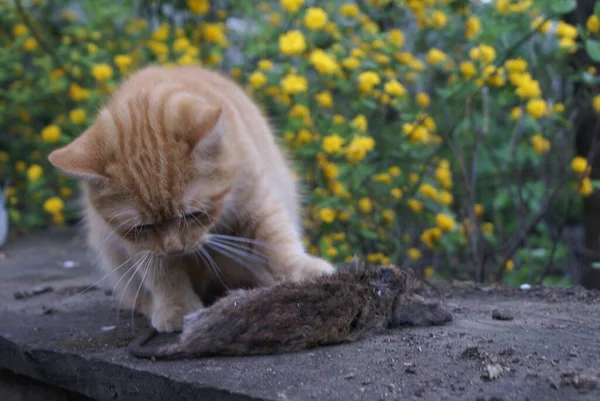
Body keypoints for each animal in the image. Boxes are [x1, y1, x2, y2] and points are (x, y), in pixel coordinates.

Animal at [49, 65, 336, 332]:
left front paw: (304, 270)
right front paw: (175, 307)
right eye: (142, 227)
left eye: (192, 215)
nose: (175, 248)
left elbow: (277, 238)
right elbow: (163, 275)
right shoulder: (141, 247)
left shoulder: (257, 199)